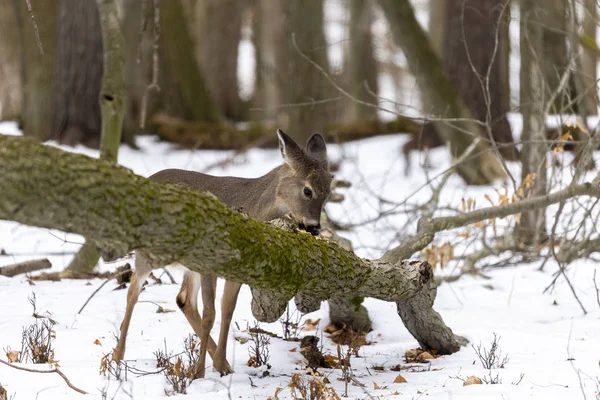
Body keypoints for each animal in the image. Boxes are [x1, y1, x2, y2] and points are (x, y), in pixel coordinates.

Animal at [112, 129, 332, 378]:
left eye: (328, 192)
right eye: (307, 190)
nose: (314, 227)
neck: (254, 208)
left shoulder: (237, 271)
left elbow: (227, 311)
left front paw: (221, 366)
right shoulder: (212, 263)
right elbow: (211, 314)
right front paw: (199, 372)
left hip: (190, 264)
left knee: (183, 300)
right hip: (150, 252)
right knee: (133, 291)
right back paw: (118, 356)